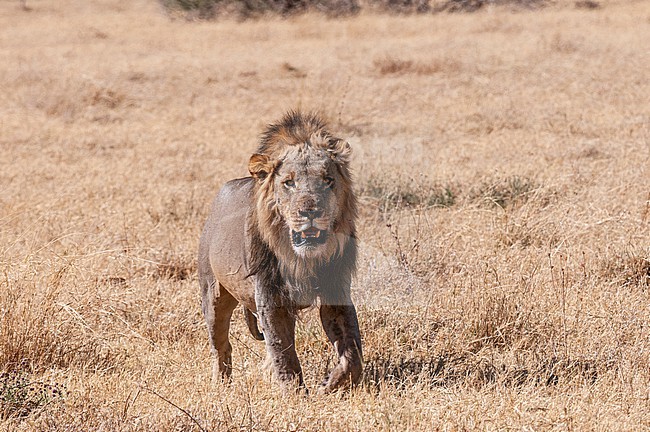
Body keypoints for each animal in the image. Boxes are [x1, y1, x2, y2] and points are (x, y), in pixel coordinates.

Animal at [198, 111, 362, 392]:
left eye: (327, 181)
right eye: (289, 183)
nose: (310, 211)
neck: (302, 259)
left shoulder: (335, 290)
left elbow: (352, 350)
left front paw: (331, 384)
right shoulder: (270, 294)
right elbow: (282, 350)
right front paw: (294, 394)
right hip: (213, 293)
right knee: (221, 346)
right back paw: (221, 385)